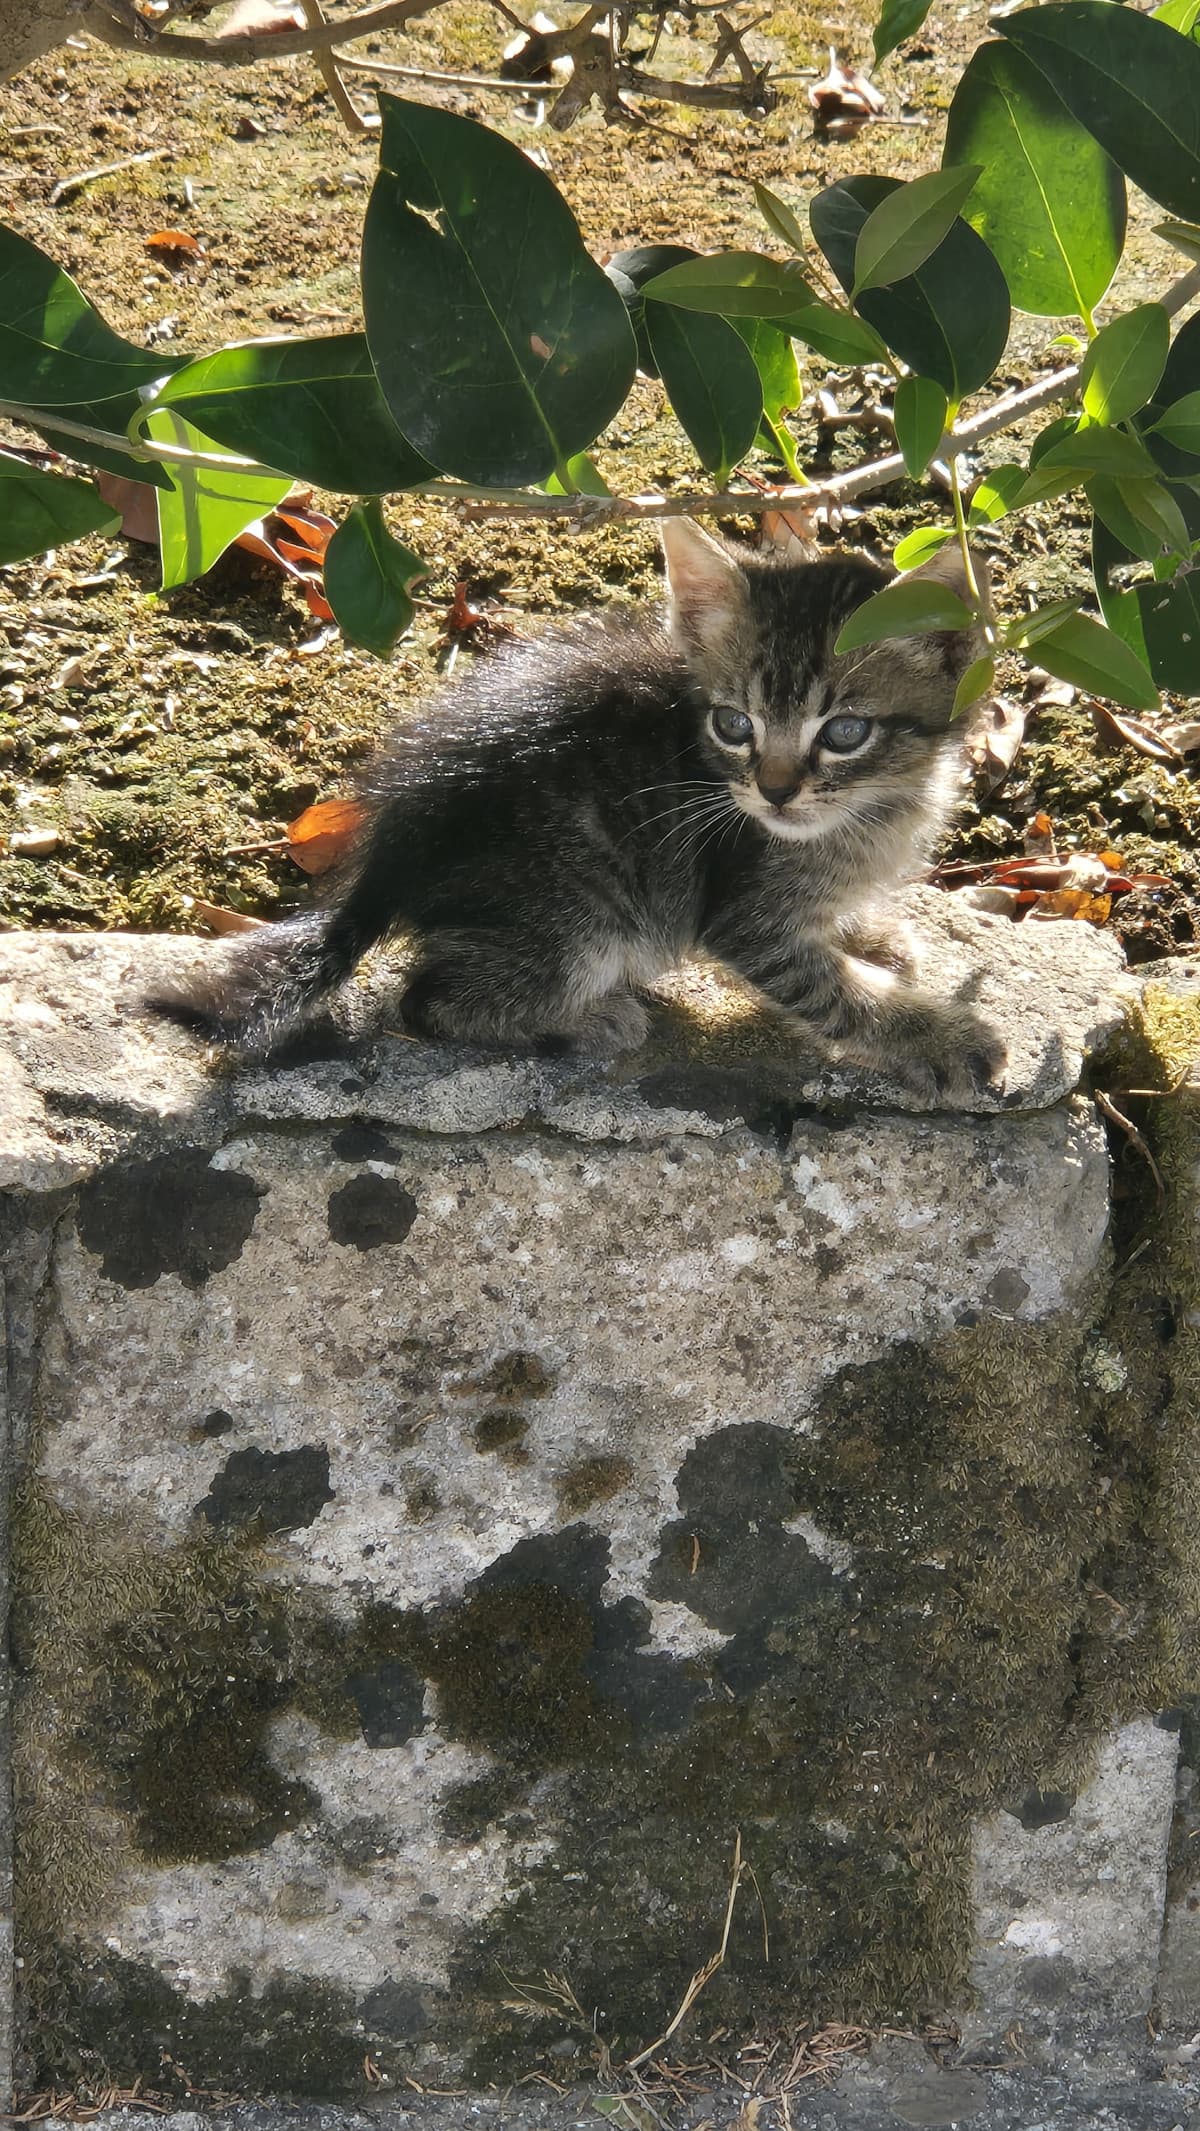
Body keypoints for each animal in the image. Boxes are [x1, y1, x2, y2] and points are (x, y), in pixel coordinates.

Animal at [152, 526, 1014, 1108]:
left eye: (844, 732)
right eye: (732, 725)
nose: (774, 793)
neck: (872, 810)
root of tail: (391, 846)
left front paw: (871, 934)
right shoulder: (743, 915)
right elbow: (835, 990)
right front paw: (938, 1039)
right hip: (577, 921)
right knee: (426, 1001)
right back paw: (587, 1020)